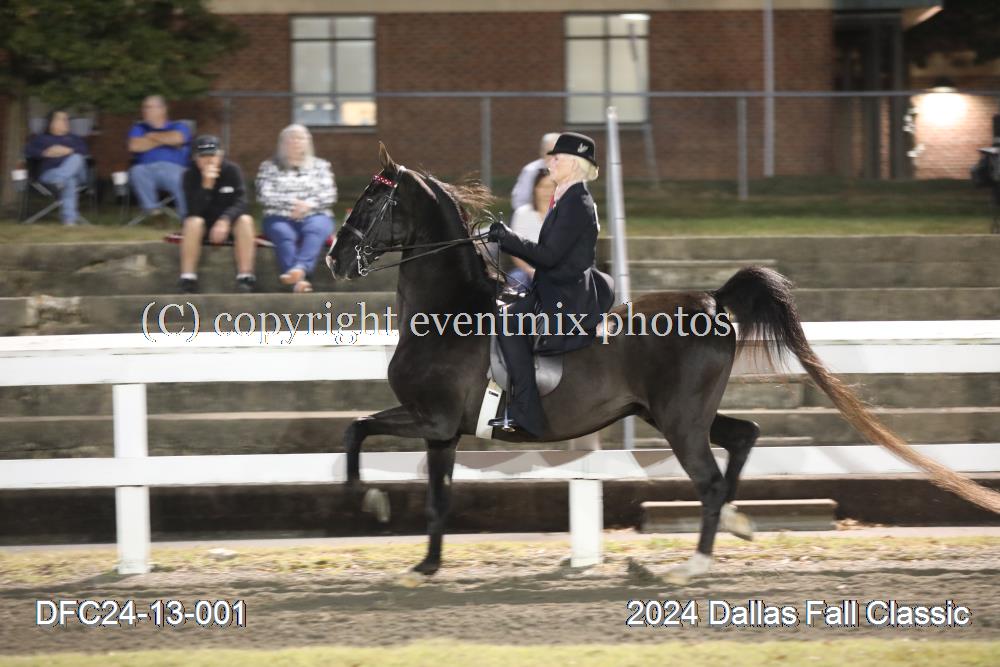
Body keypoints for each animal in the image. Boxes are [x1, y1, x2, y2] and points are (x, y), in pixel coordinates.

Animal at [325, 143, 1000, 585]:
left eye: (371, 200)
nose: (333, 257)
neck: (448, 309)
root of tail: (713, 301)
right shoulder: (439, 428)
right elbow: (416, 483)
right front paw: (418, 557)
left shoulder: (433, 419)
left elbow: (368, 441)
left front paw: (378, 513)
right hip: (676, 414)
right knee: (743, 437)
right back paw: (735, 524)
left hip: (678, 420)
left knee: (708, 477)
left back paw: (692, 564)